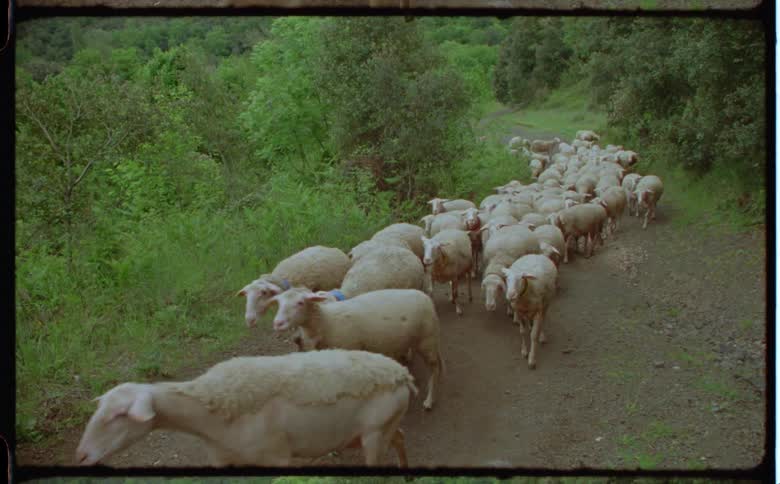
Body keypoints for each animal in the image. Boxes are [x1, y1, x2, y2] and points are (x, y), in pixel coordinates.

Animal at [76, 349, 417, 467]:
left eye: (118, 415)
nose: (80, 455)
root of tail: (401, 374)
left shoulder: (277, 457)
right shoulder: (222, 461)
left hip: (373, 434)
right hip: (383, 427)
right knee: (400, 437)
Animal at [272, 289, 443, 410]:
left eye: (300, 302)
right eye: (279, 303)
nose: (277, 323)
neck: (327, 322)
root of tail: (426, 297)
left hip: (427, 340)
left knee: (435, 368)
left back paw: (429, 400)